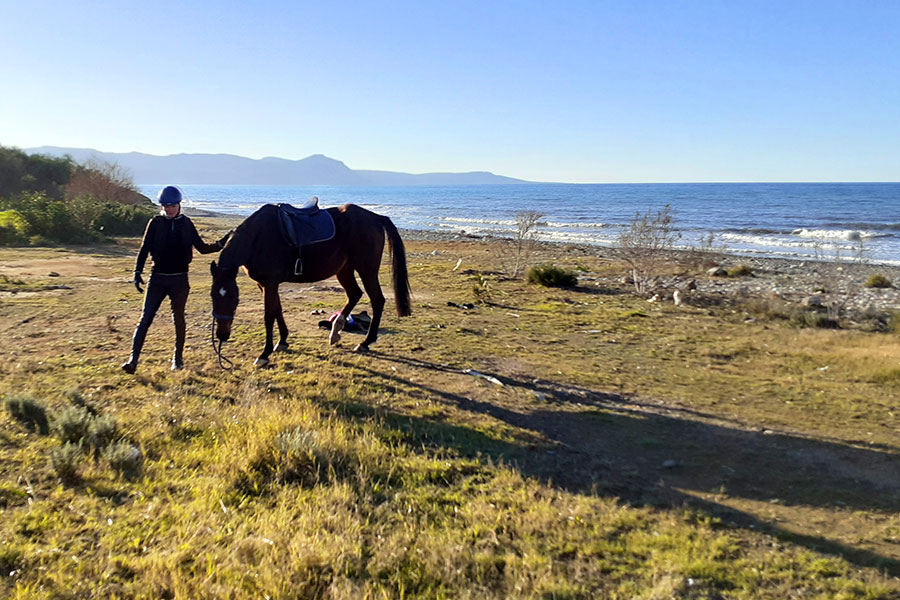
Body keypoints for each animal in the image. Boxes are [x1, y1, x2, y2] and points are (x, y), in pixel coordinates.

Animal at [209, 202, 411, 367]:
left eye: (235, 298)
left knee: (377, 300)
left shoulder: (270, 283)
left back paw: (365, 343)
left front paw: (264, 354)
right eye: (213, 296)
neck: (257, 239)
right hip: (344, 270)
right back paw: (336, 330)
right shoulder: (265, 284)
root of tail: (376, 218)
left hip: (366, 270)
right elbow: (277, 309)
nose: (222, 335)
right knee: (354, 294)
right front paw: (282, 341)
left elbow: (268, 316)